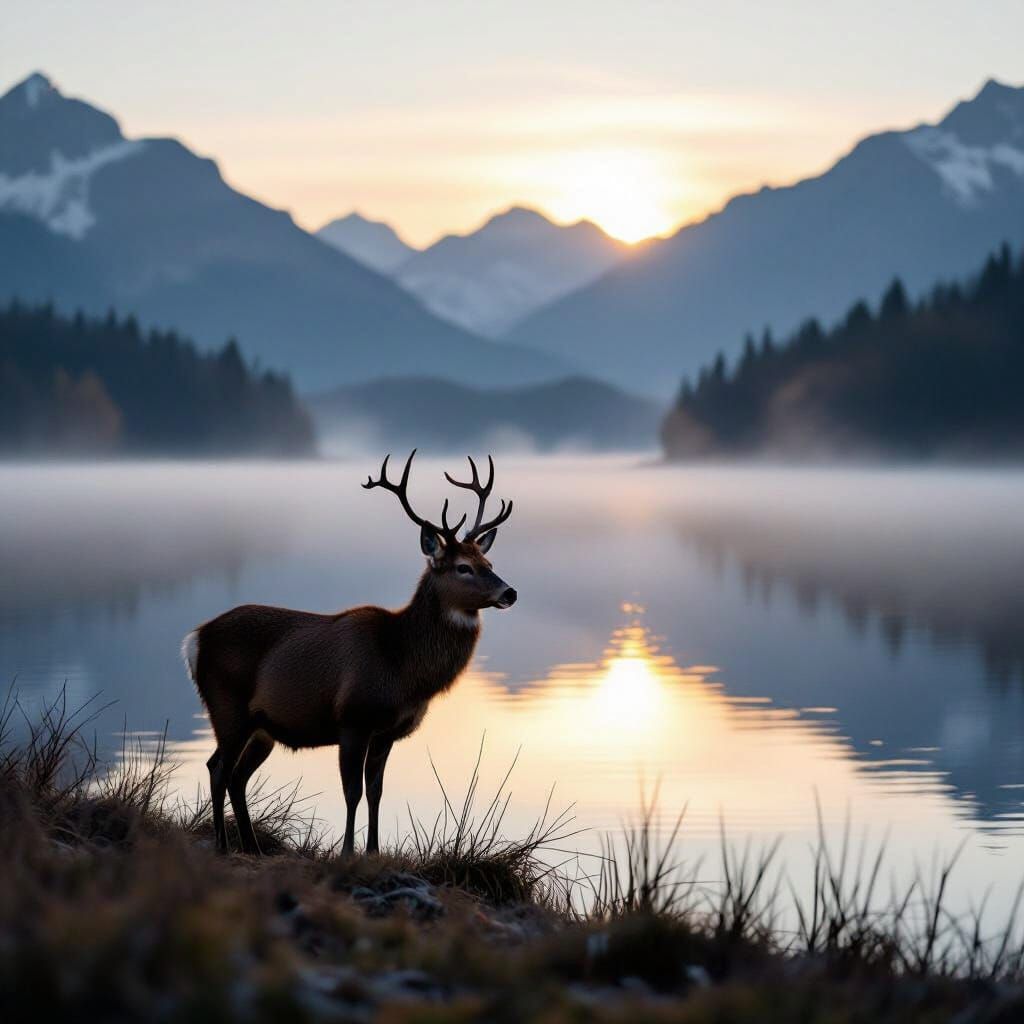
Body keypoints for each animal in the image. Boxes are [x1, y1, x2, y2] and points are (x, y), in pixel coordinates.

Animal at [181, 450, 516, 856]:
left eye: (489, 564)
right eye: (463, 567)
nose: (509, 592)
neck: (402, 666)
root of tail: (195, 639)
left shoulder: (387, 731)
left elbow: (376, 791)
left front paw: (372, 852)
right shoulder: (353, 718)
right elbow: (352, 791)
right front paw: (347, 852)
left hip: (262, 727)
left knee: (237, 776)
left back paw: (252, 847)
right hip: (227, 705)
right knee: (217, 768)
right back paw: (223, 845)